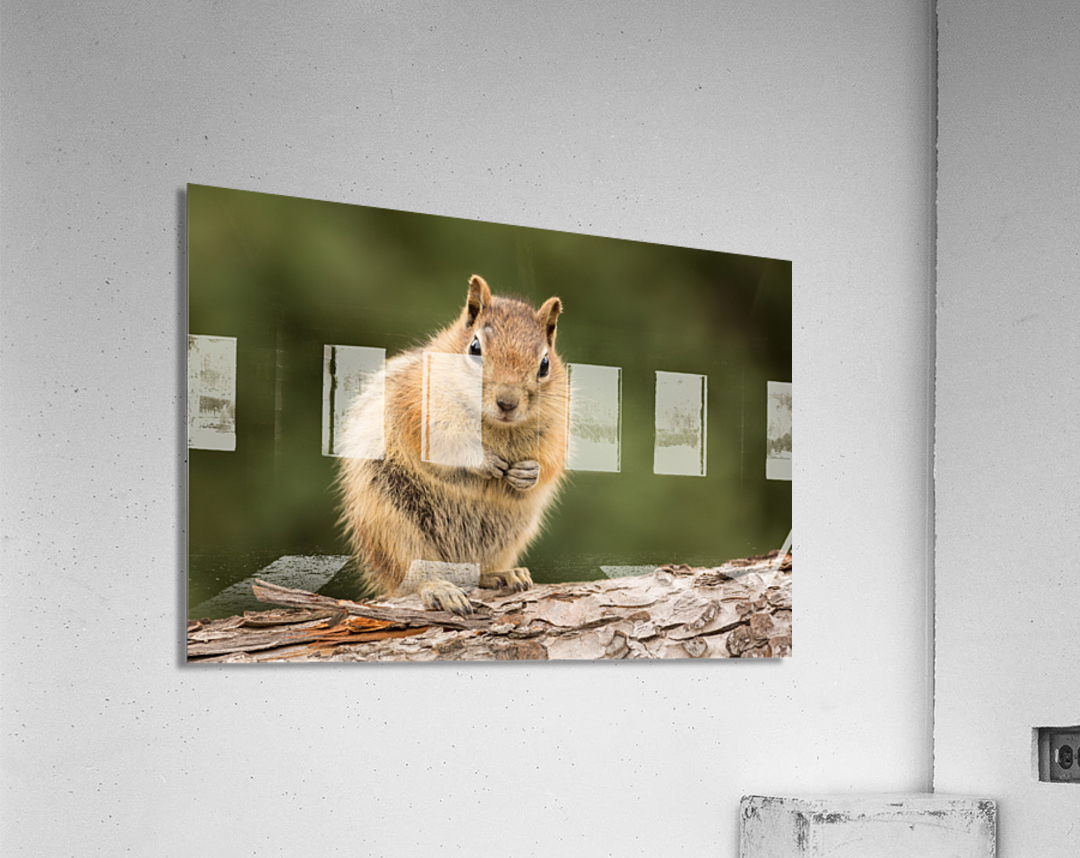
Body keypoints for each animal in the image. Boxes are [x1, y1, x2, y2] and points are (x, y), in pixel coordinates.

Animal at [336, 274, 568, 615]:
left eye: (545, 364)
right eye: (475, 347)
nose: (507, 403)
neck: (496, 426)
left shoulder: (558, 424)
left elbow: (552, 460)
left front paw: (529, 472)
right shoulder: (418, 403)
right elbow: (441, 441)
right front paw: (485, 461)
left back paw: (502, 574)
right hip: (392, 525)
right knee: (412, 576)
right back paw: (439, 588)